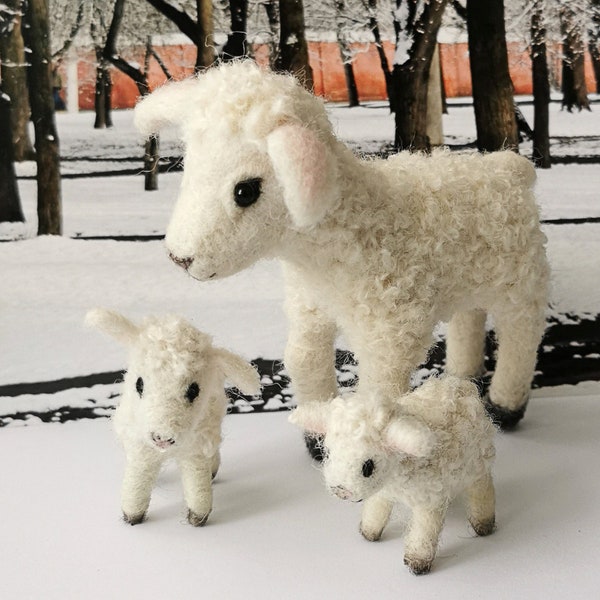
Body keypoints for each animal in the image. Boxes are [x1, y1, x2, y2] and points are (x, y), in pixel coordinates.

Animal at [85, 310, 260, 524]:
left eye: (194, 390)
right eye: (139, 384)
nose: (162, 438)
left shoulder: (195, 451)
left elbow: (197, 487)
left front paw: (197, 518)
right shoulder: (141, 448)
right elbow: (137, 484)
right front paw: (132, 516)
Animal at [134, 59, 552, 426]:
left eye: (246, 190)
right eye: (190, 165)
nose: (179, 257)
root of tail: (510, 168)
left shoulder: (392, 331)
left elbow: (378, 389)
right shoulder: (310, 307)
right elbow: (303, 359)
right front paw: (314, 432)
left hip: (521, 283)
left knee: (522, 334)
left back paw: (505, 406)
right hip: (472, 276)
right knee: (470, 316)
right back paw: (463, 376)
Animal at [290, 378, 496, 576]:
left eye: (368, 467)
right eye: (328, 453)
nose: (340, 490)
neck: (397, 472)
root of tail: (460, 386)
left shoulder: (428, 502)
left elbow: (423, 533)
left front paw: (417, 562)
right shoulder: (383, 493)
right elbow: (375, 510)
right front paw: (368, 532)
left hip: (479, 465)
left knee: (482, 490)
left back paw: (483, 525)